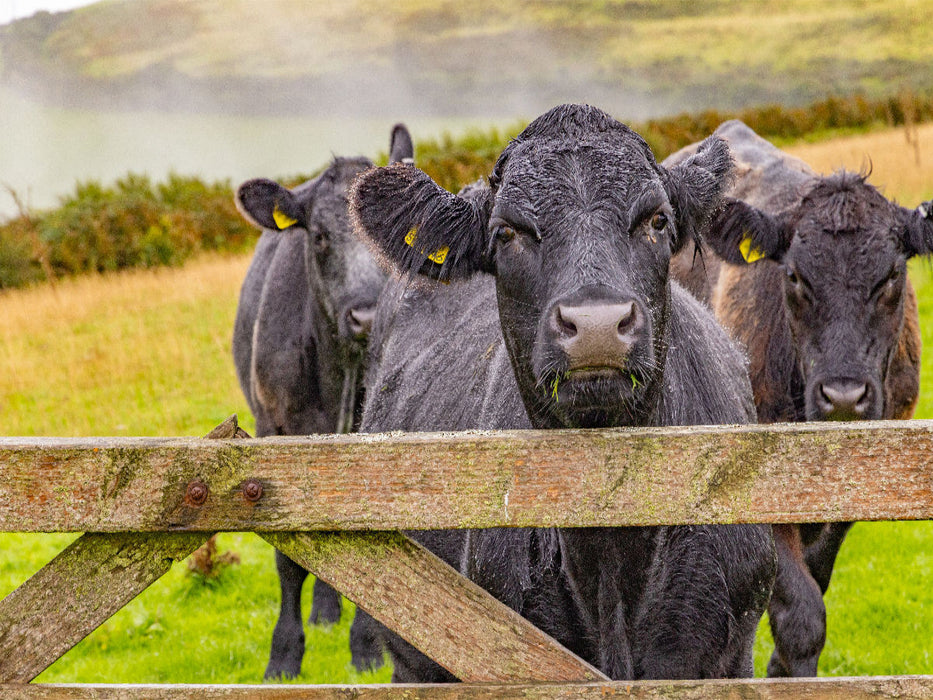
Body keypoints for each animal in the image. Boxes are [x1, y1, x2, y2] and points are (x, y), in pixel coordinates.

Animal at [232, 123, 414, 680]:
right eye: (318, 236)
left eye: (400, 232)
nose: (368, 316)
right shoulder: (274, 430)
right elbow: (289, 559)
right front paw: (284, 654)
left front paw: (367, 646)